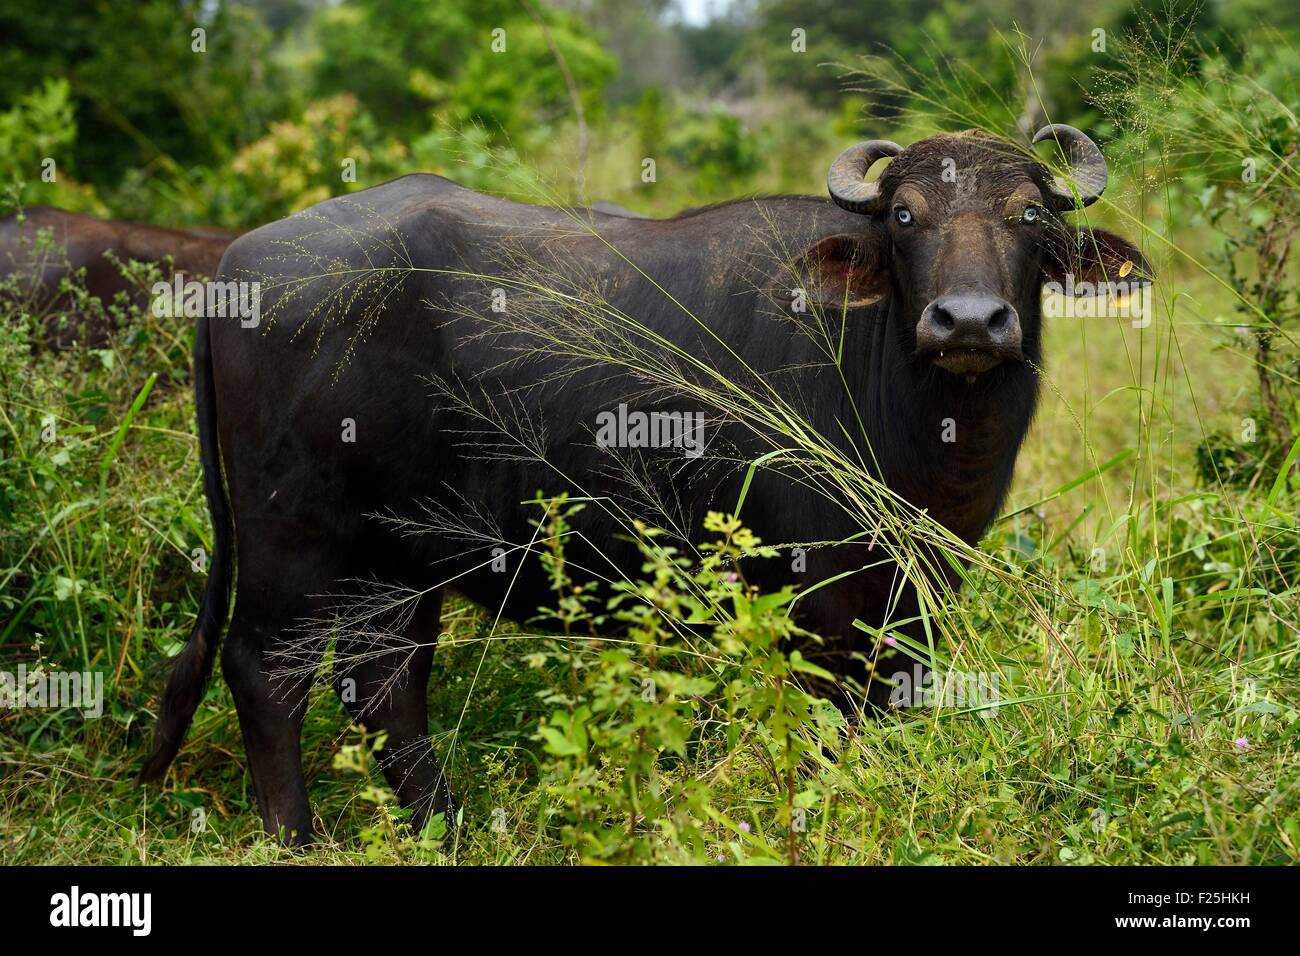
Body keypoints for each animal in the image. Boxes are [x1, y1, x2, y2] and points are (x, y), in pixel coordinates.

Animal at [142, 123, 1149, 842]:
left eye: (1030, 217)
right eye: (905, 218)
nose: (969, 321)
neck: (913, 414)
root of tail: (234, 271)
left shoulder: (917, 594)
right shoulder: (811, 595)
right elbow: (826, 725)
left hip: (401, 555)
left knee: (385, 679)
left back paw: (446, 828)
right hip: (290, 537)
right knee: (265, 670)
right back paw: (297, 838)